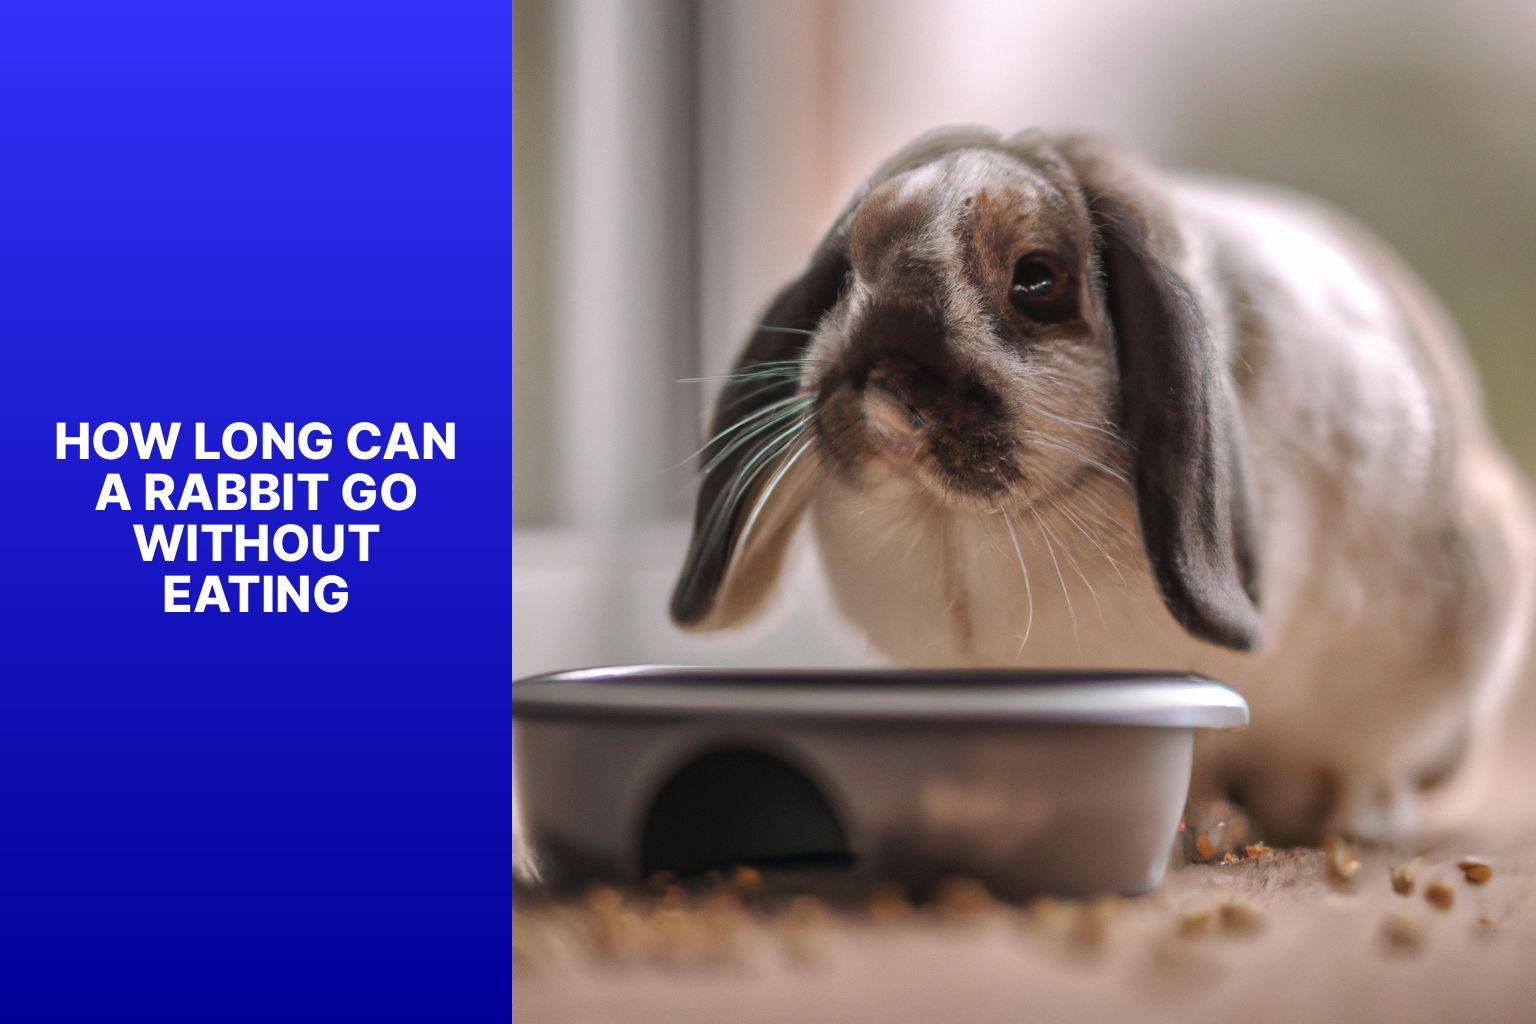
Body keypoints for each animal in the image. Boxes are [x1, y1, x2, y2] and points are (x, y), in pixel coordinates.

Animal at [669, 126, 1536, 844]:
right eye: (848, 274)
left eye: (1037, 281)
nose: (882, 383)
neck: (959, 530)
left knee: (1360, 765)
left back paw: (1349, 818)